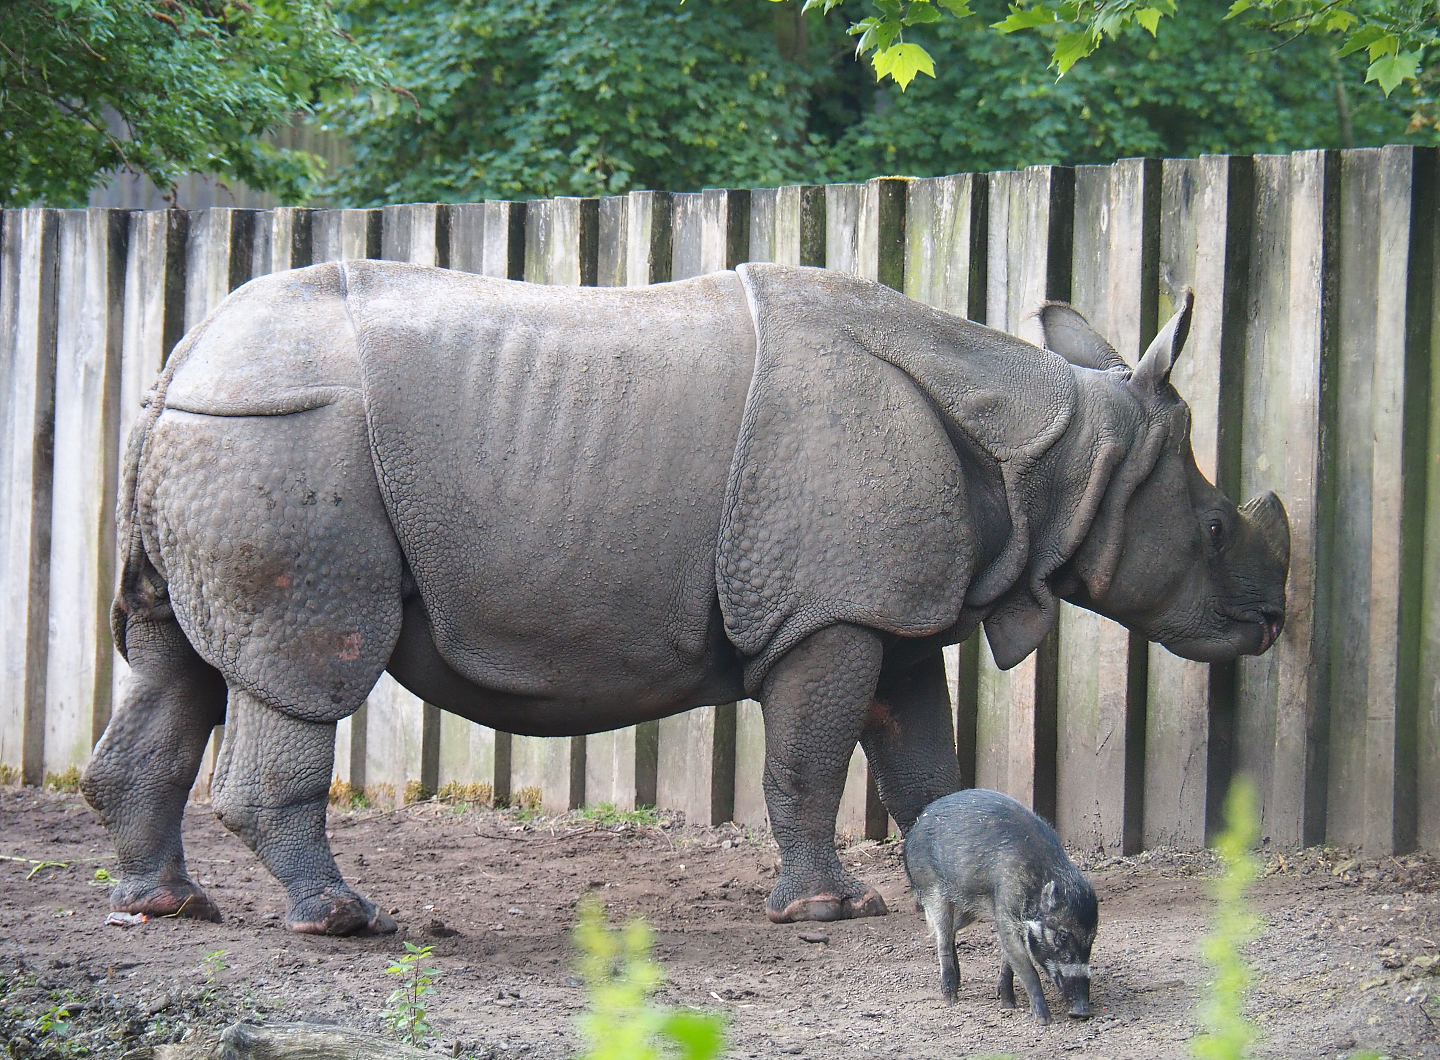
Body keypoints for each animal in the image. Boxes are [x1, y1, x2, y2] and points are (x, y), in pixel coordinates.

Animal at [82, 261, 1289, 934]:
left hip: (217, 438)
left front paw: (948, 887)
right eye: (1214, 532)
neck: (1056, 449)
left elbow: (923, 763)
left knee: (176, 665)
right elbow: (811, 762)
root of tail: (180, 360)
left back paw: (165, 906)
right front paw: (826, 911)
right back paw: (339, 922)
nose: (1274, 622)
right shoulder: (828, 612)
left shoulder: (885, 603)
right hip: (283, 437)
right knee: (302, 669)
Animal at [904, 788, 1098, 1024]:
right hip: (933, 891)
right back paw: (951, 999)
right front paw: (1044, 1020)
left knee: (949, 932)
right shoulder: (1006, 911)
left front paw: (1008, 1005)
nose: (1082, 1012)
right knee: (942, 939)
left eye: (1092, 937)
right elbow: (1027, 969)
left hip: (967, 908)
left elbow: (1009, 962)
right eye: (1062, 935)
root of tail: (915, 825)